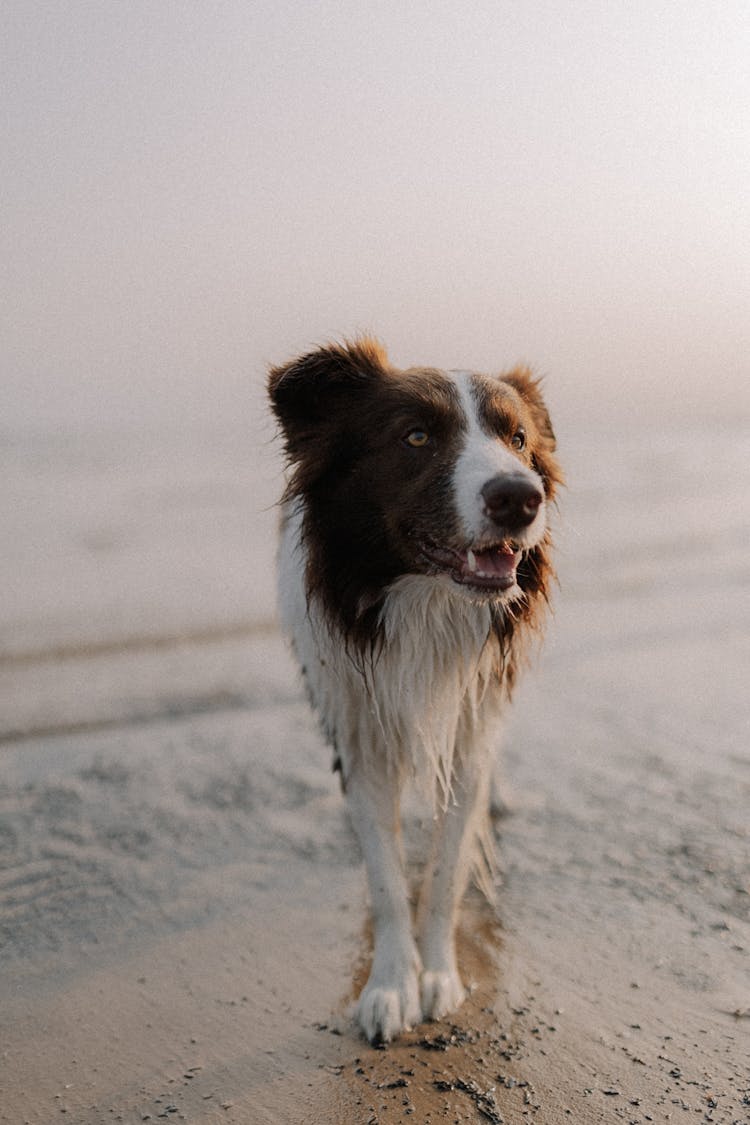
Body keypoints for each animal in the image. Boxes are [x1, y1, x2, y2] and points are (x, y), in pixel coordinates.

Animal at [269, 337, 562, 1039]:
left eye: (517, 438)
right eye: (417, 436)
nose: (521, 497)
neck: (425, 604)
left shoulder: (472, 723)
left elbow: (448, 871)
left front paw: (439, 978)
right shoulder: (358, 729)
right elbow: (385, 877)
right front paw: (390, 986)